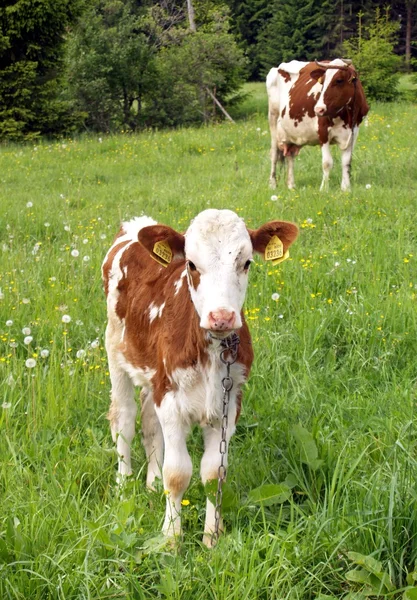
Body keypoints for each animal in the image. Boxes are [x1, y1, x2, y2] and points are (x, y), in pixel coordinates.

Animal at [101, 209, 298, 548]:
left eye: (247, 262)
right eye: (192, 264)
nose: (221, 317)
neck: (210, 352)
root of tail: (137, 224)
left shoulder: (229, 404)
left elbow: (213, 474)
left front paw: (211, 538)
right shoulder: (170, 400)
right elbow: (177, 473)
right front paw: (170, 538)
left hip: (153, 376)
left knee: (149, 422)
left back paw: (151, 484)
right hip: (115, 350)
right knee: (124, 420)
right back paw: (124, 486)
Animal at [264, 58, 368, 190]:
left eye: (339, 80)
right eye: (322, 82)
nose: (318, 109)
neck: (347, 116)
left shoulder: (353, 131)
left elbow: (346, 161)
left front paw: (346, 188)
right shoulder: (322, 131)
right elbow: (327, 162)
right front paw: (324, 189)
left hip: (292, 133)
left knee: (290, 155)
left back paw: (291, 186)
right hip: (273, 119)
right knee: (273, 154)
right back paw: (272, 184)